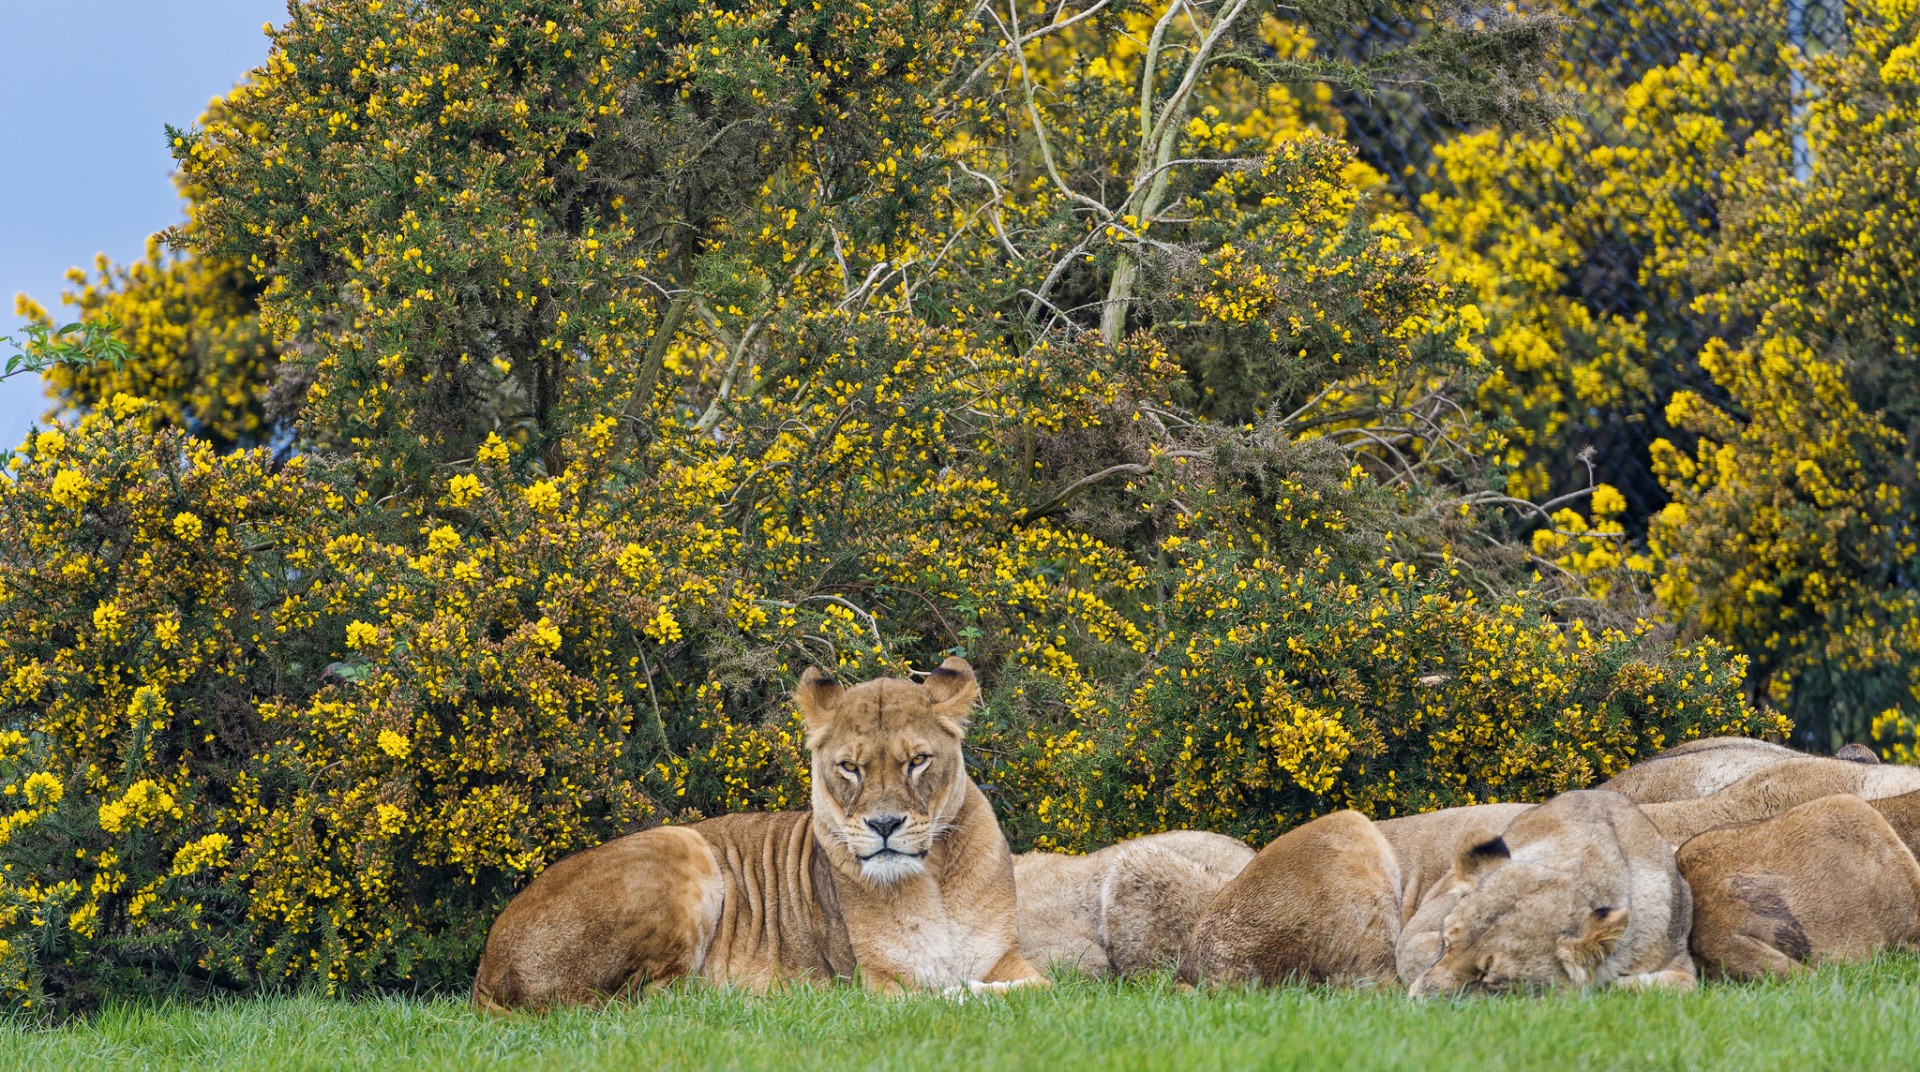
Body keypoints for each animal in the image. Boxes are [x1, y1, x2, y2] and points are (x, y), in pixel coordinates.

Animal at [470, 657, 1047, 1009]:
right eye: (850, 768)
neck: (932, 880)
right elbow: (942, 994)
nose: (884, 825)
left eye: (917, 761)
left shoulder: (1011, 960)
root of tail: (485, 974)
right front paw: (960, 993)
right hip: (681, 845)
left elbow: (1035, 989)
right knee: (654, 1003)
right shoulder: (876, 982)